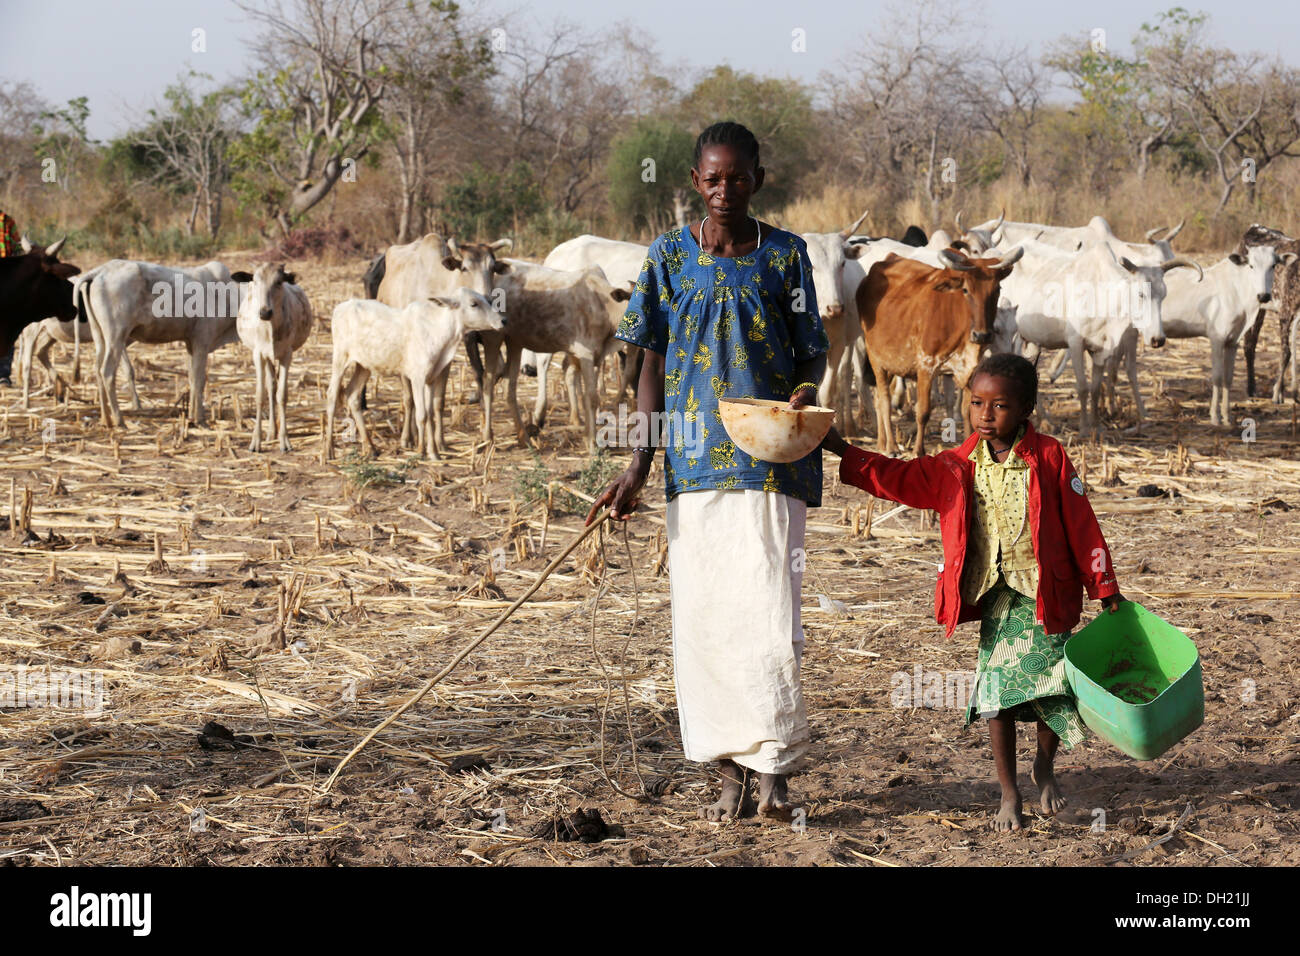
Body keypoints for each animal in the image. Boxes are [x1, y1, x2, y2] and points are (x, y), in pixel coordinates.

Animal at [76, 261, 245, 426]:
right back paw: (119, 420)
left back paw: (106, 419)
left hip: (99, 335)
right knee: (107, 372)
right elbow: (199, 380)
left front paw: (191, 416)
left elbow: (192, 378)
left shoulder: (191, 343)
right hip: (116, 335)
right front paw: (200, 419)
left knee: (97, 371)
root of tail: (100, 271)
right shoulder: (201, 341)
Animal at [236, 264, 314, 455]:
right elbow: (260, 394)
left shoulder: (287, 354)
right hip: (267, 358)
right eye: (255, 281)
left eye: (279, 282)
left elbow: (282, 395)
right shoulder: (258, 354)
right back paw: (271, 431)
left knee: (274, 388)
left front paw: (284, 440)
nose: (265, 312)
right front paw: (255, 441)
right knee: (270, 387)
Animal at [325, 287, 501, 460]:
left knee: (352, 395)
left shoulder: (431, 379)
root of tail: (341, 306)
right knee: (332, 396)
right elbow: (421, 415)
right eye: (474, 304)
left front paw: (434, 453)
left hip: (364, 365)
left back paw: (371, 448)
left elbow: (430, 415)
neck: (440, 332)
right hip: (340, 358)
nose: (502, 321)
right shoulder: (418, 378)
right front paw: (421, 451)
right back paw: (329, 449)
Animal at [857, 244, 1019, 457]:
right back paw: (891, 447)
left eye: (997, 290)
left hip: (892, 363)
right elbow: (923, 412)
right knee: (884, 401)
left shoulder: (970, 371)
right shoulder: (926, 366)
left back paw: (881, 443)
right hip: (877, 361)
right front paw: (918, 451)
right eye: (966, 290)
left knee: (877, 400)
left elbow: (969, 410)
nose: (982, 335)